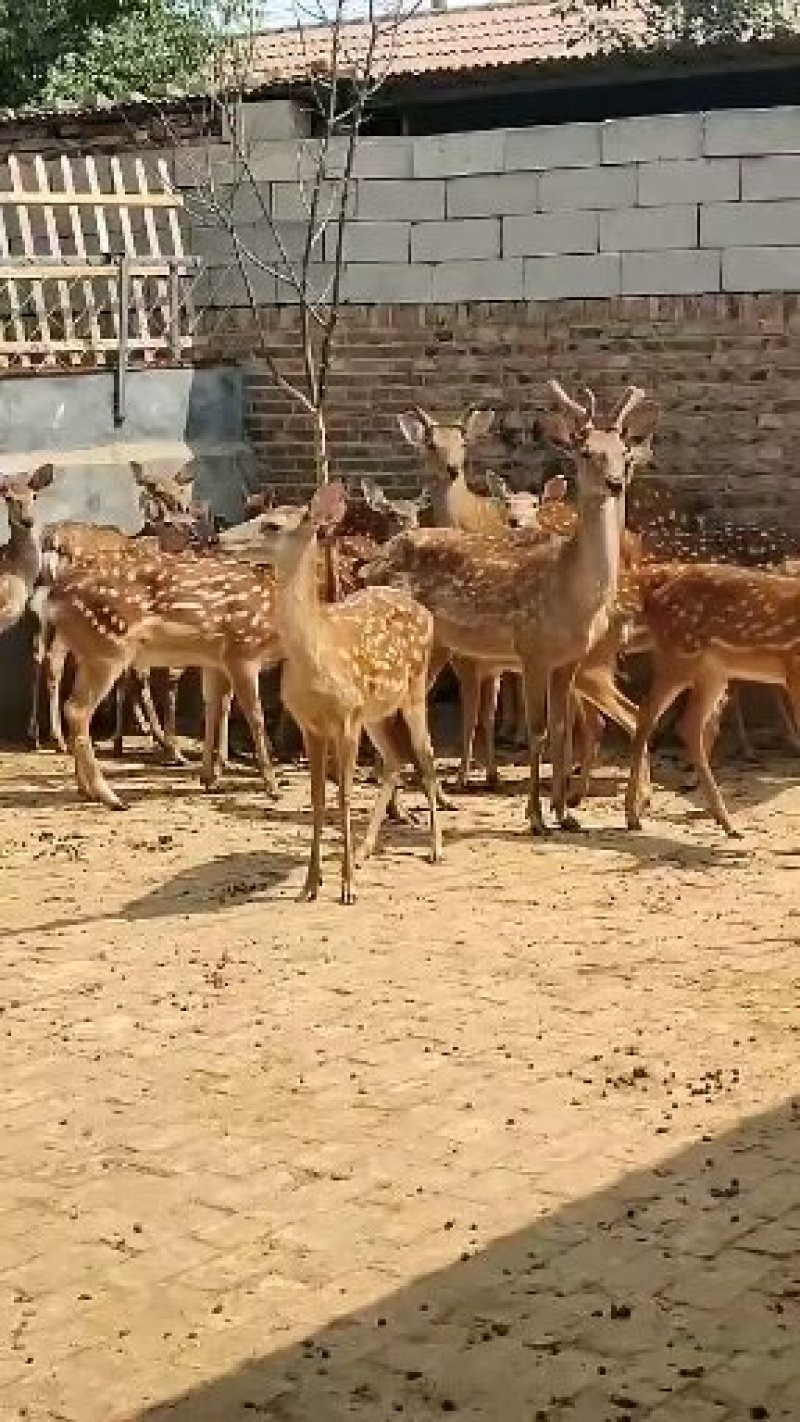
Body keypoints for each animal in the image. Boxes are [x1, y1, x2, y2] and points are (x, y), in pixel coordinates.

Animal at [220, 480, 442, 904]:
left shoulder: (346, 719)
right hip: (376, 712)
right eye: (257, 514)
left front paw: (347, 888)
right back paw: (364, 850)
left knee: (424, 755)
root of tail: (425, 610)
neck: (316, 659)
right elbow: (318, 798)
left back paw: (436, 849)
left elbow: (344, 796)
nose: (220, 539)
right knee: (394, 758)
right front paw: (310, 885)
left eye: (272, 525)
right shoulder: (310, 723)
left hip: (414, 691)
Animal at [365, 382, 659, 836]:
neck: (570, 594)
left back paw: (404, 809)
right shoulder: (532, 648)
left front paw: (565, 814)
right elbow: (537, 731)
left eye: (624, 452)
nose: (614, 482)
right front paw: (536, 816)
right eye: (585, 450)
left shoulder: (569, 659)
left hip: (434, 648)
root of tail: (370, 563)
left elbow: (560, 730)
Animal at [624, 560, 800, 838]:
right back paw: (635, 815)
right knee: (653, 717)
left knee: (682, 722)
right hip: (680, 658)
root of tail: (653, 599)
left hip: (711, 672)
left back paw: (723, 821)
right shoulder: (794, 669)